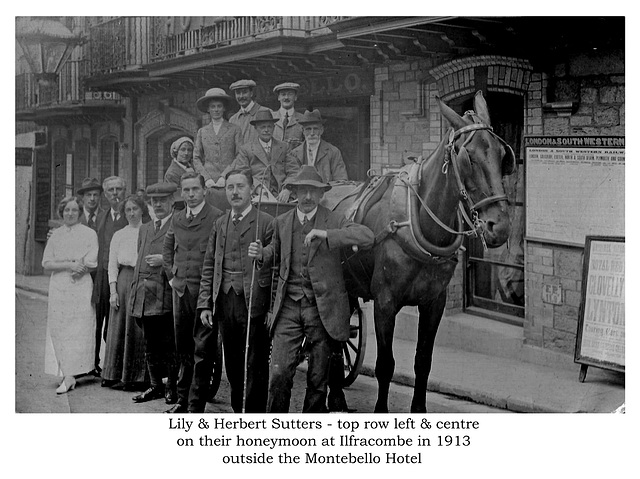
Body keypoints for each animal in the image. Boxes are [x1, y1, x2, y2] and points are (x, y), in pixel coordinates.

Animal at [328, 91, 516, 412]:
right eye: (468, 157)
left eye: (503, 155)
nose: (499, 226)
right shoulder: (385, 302)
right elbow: (385, 365)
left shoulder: (434, 303)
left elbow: (423, 362)